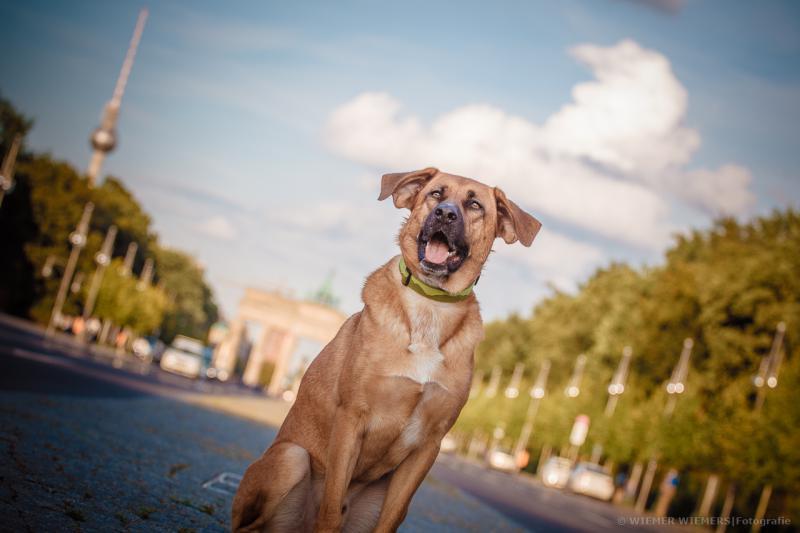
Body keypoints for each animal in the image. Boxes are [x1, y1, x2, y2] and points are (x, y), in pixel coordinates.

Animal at [233, 167, 544, 532]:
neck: (430, 306)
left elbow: (392, 516)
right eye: (436, 194)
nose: (445, 214)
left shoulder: (428, 446)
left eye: (475, 205)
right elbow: (331, 507)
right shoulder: (351, 419)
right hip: (291, 457)